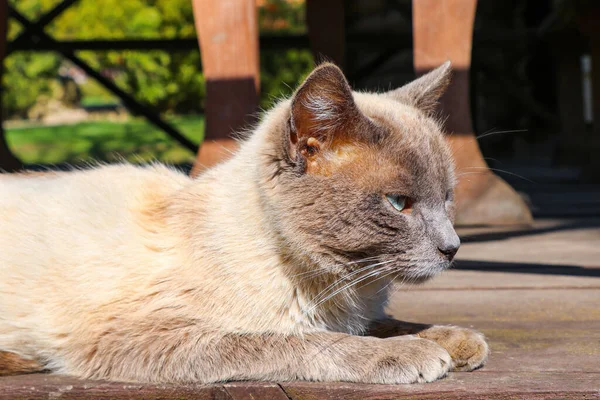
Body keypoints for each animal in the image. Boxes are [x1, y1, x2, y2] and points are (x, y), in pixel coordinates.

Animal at [0, 62, 488, 384]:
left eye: (446, 198)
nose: (453, 247)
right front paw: (415, 353)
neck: (344, 289)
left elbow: (381, 324)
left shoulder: (350, 310)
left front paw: (453, 340)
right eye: (398, 203)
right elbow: (296, 341)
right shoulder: (141, 335)